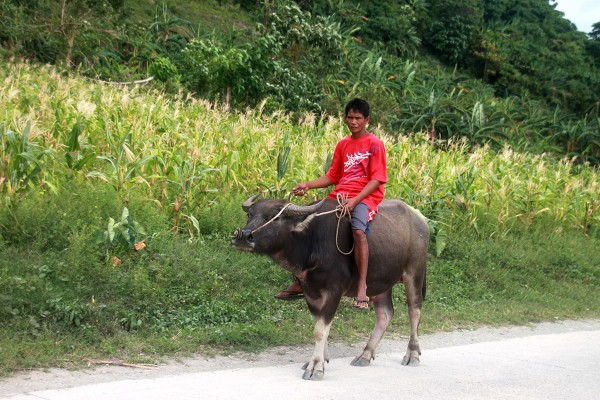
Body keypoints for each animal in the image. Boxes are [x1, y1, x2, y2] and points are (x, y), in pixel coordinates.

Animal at [232, 197, 428, 382]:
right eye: (250, 214)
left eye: (276, 217)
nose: (242, 236)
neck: (310, 242)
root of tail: (421, 219)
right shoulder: (310, 292)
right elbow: (318, 326)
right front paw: (320, 360)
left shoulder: (334, 292)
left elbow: (320, 330)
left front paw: (316, 366)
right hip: (381, 281)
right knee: (385, 313)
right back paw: (365, 355)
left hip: (414, 273)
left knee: (414, 310)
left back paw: (412, 354)